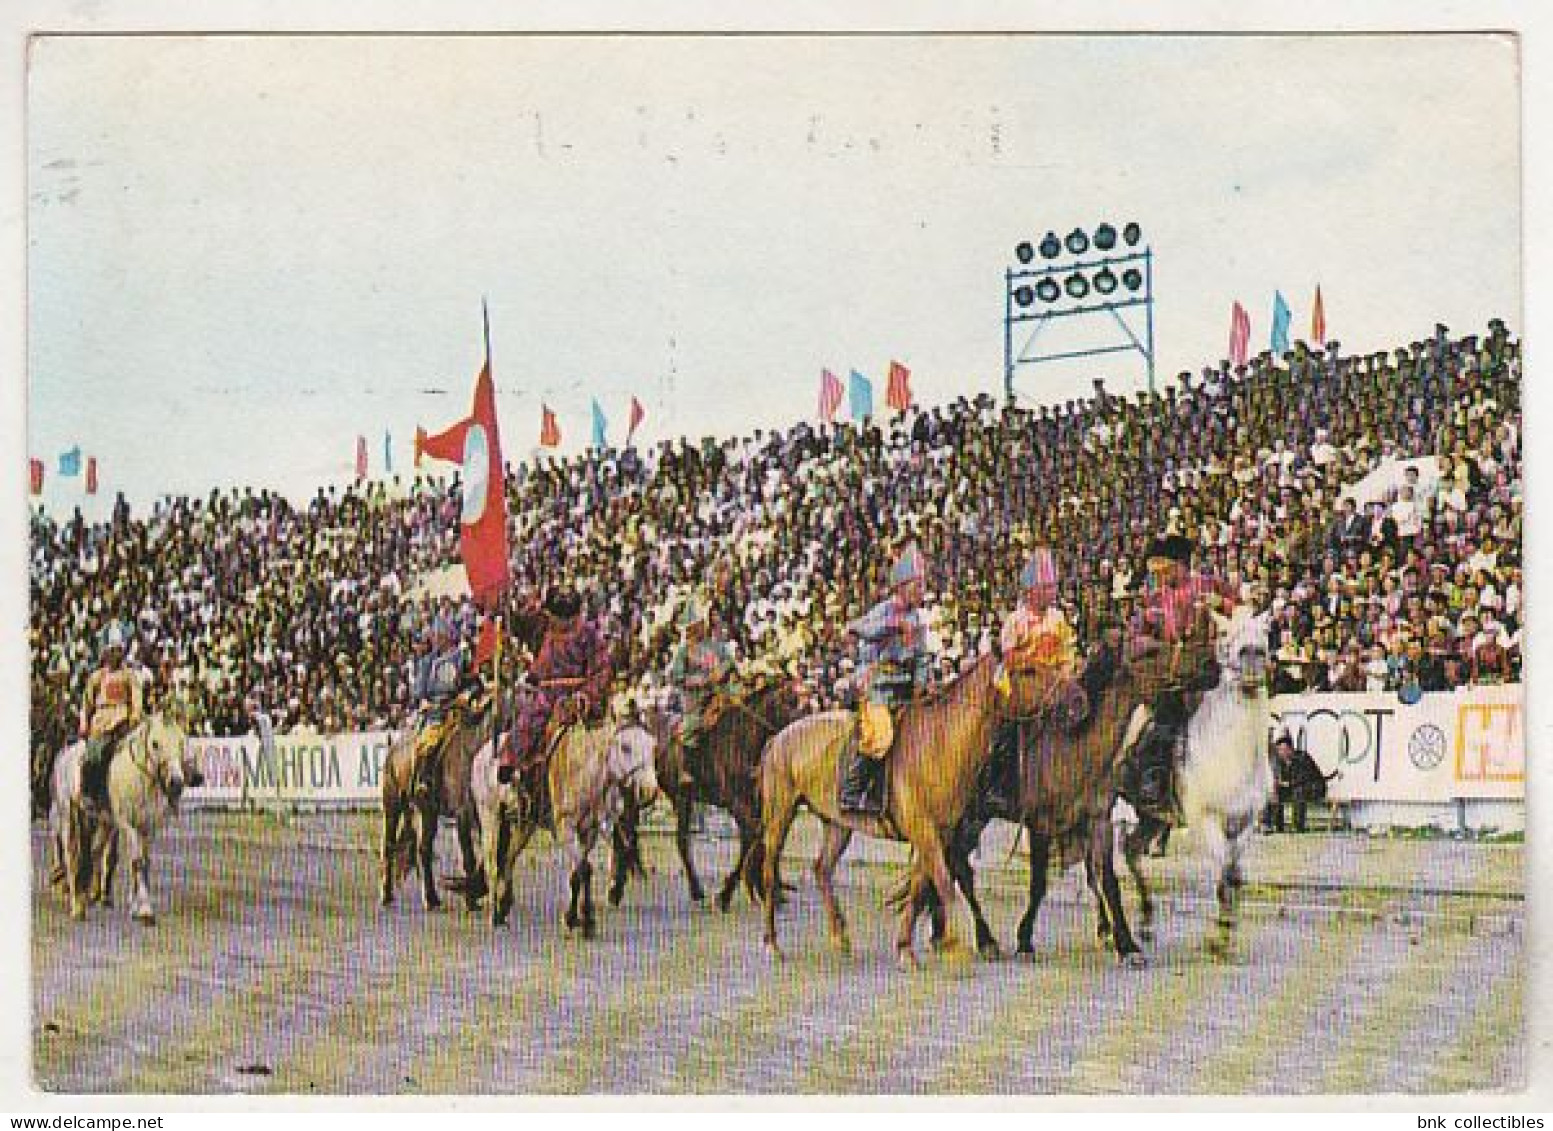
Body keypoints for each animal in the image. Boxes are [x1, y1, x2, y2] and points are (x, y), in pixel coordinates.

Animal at [48, 711, 201, 925]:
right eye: (155, 743)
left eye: (180, 742)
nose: (176, 782)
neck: (140, 777)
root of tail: (66, 751)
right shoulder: (128, 825)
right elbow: (137, 862)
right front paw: (144, 910)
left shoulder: (148, 828)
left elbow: (144, 862)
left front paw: (138, 907)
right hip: (68, 814)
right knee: (70, 854)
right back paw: (75, 903)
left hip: (102, 823)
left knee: (94, 853)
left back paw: (86, 895)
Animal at [469, 714, 658, 938]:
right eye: (625, 747)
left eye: (653, 746)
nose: (649, 792)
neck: (581, 770)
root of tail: (482, 753)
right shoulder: (565, 828)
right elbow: (583, 869)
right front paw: (579, 920)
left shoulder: (589, 830)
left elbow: (579, 871)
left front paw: (580, 919)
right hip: (490, 815)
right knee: (492, 864)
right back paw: (494, 915)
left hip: (525, 824)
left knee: (508, 858)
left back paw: (504, 905)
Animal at [751, 649, 1043, 969]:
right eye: (1027, 671)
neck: (940, 741)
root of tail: (778, 738)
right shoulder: (924, 830)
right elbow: (943, 881)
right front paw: (954, 945)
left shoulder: (937, 834)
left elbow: (919, 886)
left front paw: (906, 948)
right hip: (780, 815)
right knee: (769, 872)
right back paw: (771, 943)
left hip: (837, 823)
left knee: (822, 869)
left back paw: (840, 938)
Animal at [1118, 605, 1273, 957]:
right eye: (1225, 632)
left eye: (1265, 631)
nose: (1252, 657)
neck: (1231, 753)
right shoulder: (1207, 820)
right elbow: (1225, 873)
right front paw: (1220, 937)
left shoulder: (1245, 821)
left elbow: (1235, 876)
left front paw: (1226, 934)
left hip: (1151, 816)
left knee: (1131, 850)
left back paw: (1145, 924)